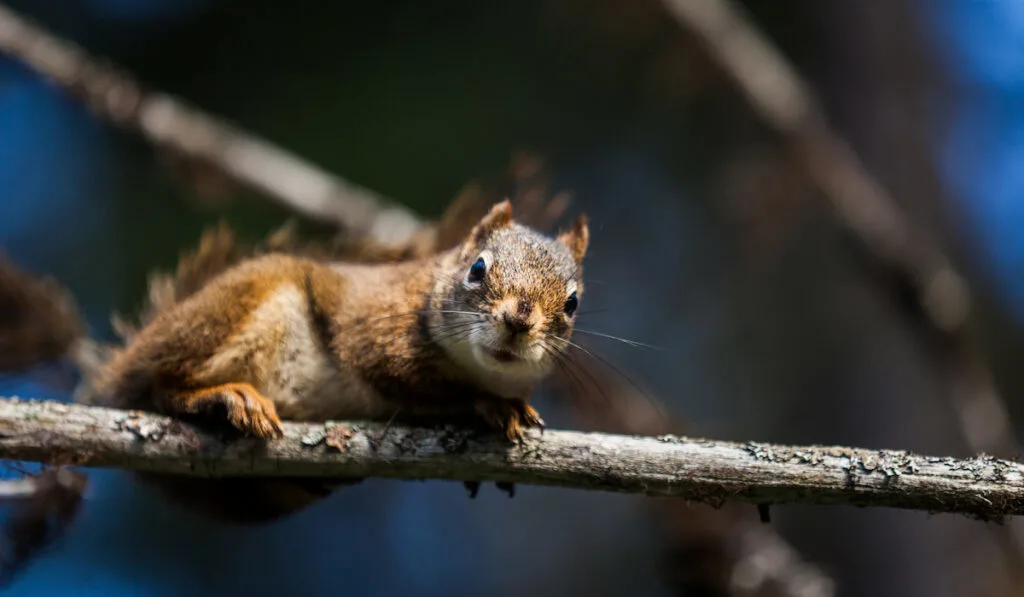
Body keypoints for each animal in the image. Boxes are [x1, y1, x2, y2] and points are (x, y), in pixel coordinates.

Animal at [78, 200, 589, 524]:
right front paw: (492, 404)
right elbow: (417, 384)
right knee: (158, 387)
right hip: (232, 314)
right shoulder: (377, 336)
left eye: (573, 302)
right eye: (478, 269)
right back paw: (224, 397)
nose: (518, 320)